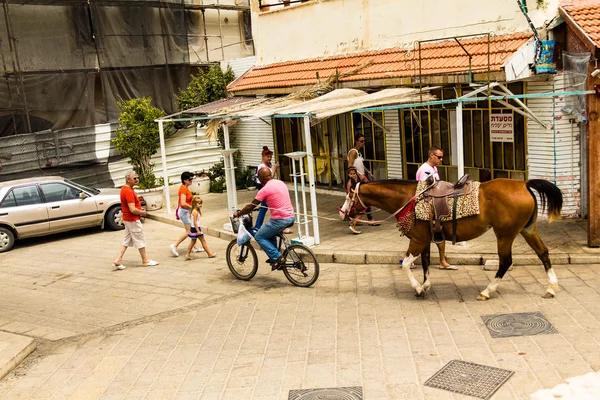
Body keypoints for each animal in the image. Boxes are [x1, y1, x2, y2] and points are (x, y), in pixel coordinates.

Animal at [342, 179, 564, 300]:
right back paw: (551, 288)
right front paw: (425, 286)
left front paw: (418, 288)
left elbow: (405, 264)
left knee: (505, 261)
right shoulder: (425, 240)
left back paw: (487, 291)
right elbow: (425, 264)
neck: (409, 199)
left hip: (505, 234)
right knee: (543, 253)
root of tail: (524, 184)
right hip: (527, 230)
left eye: (349, 196)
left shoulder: (417, 240)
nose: (343, 212)